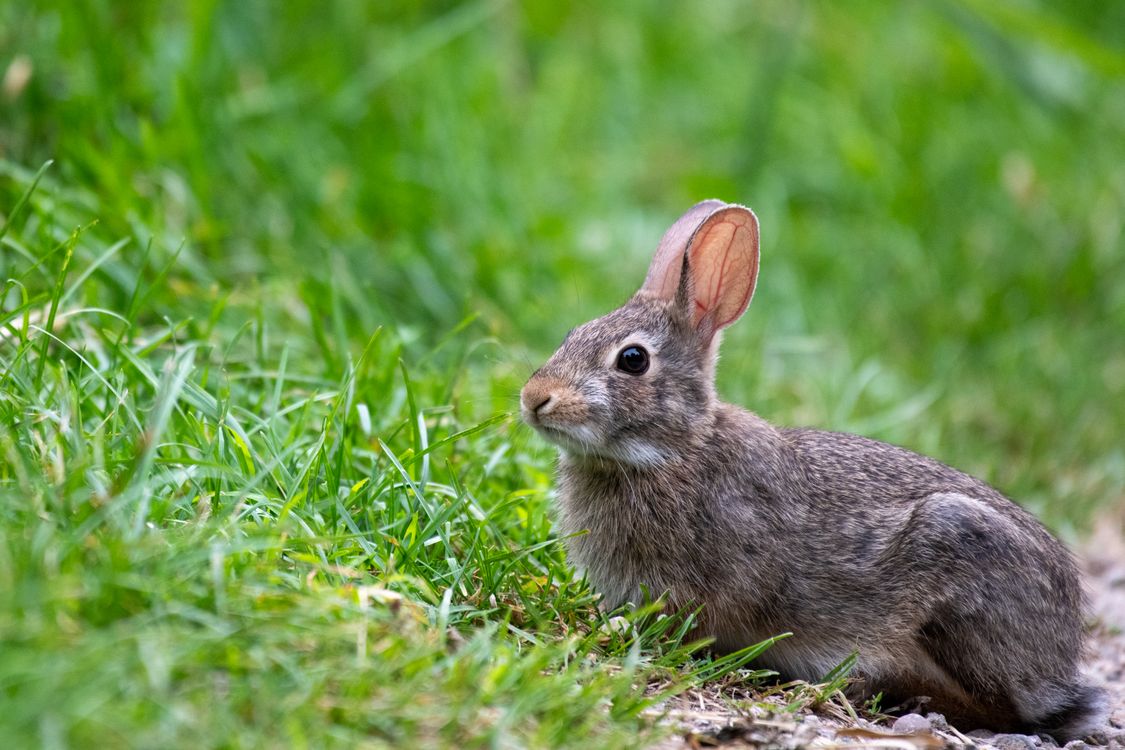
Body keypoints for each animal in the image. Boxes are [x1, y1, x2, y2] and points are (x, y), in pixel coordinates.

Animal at [519, 200, 1109, 740]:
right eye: (573, 333)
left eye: (633, 360)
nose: (534, 398)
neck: (675, 450)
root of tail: (1058, 656)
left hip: (958, 554)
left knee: (999, 708)